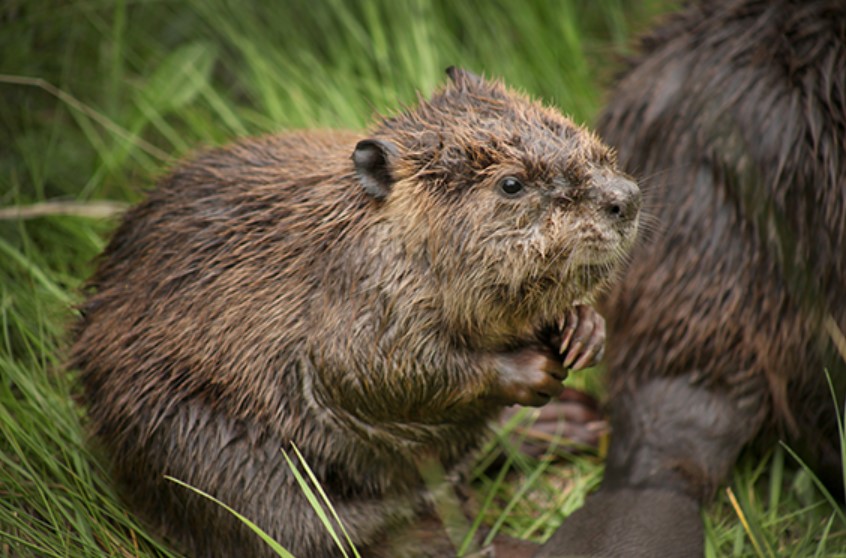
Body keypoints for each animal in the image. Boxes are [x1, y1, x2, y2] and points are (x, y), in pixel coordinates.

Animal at [71, 68, 644, 556]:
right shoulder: (357, 291)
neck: (366, 228)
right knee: (320, 532)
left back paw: (572, 422)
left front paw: (584, 330)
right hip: (201, 447)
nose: (626, 198)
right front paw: (532, 368)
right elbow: (370, 368)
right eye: (511, 184)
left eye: (573, 132)